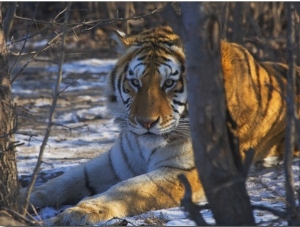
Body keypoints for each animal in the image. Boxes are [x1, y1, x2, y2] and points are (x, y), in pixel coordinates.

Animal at [23, 25, 300, 225]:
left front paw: (78, 213)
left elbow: (126, 188)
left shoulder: (182, 171)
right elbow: (64, 180)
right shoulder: (116, 160)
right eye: (135, 83)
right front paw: (22, 198)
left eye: (169, 84)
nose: (146, 122)